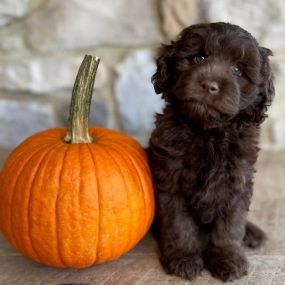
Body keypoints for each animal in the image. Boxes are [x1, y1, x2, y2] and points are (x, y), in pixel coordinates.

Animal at [146, 21, 272, 280]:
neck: (208, 132)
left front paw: (227, 259)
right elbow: (178, 225)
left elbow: (230, 227)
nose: (210, 85)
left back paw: (252, 232)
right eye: (199, 57)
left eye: (237, 70)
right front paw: (183, 258)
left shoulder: (237, 181)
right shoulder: (170, 181)